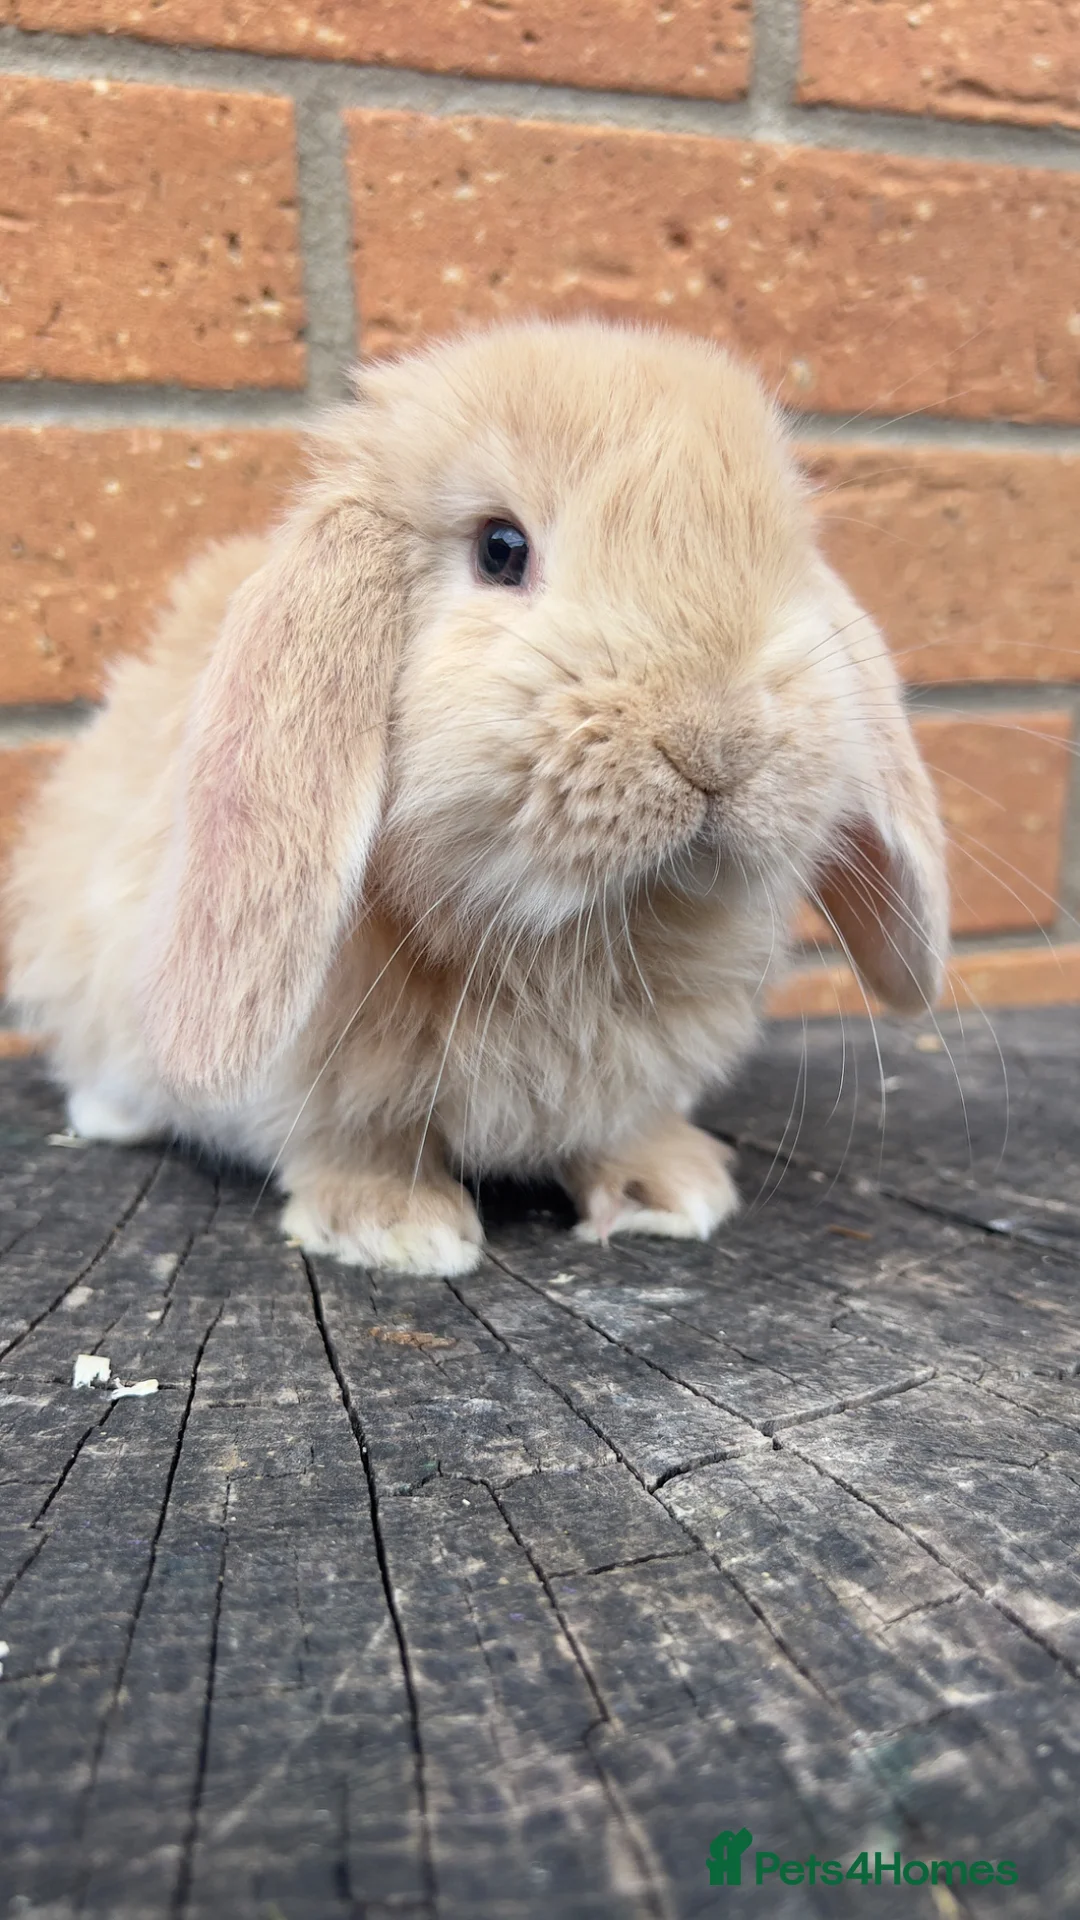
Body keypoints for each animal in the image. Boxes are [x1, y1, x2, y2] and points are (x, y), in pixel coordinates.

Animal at [5, 319, 948, 1277]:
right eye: (501, 549)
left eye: (784, 559)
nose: (717, 742)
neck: (585, 936)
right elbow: (350, 1144)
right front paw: (396, 1228)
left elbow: (620, 1132)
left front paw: (670, 1190)